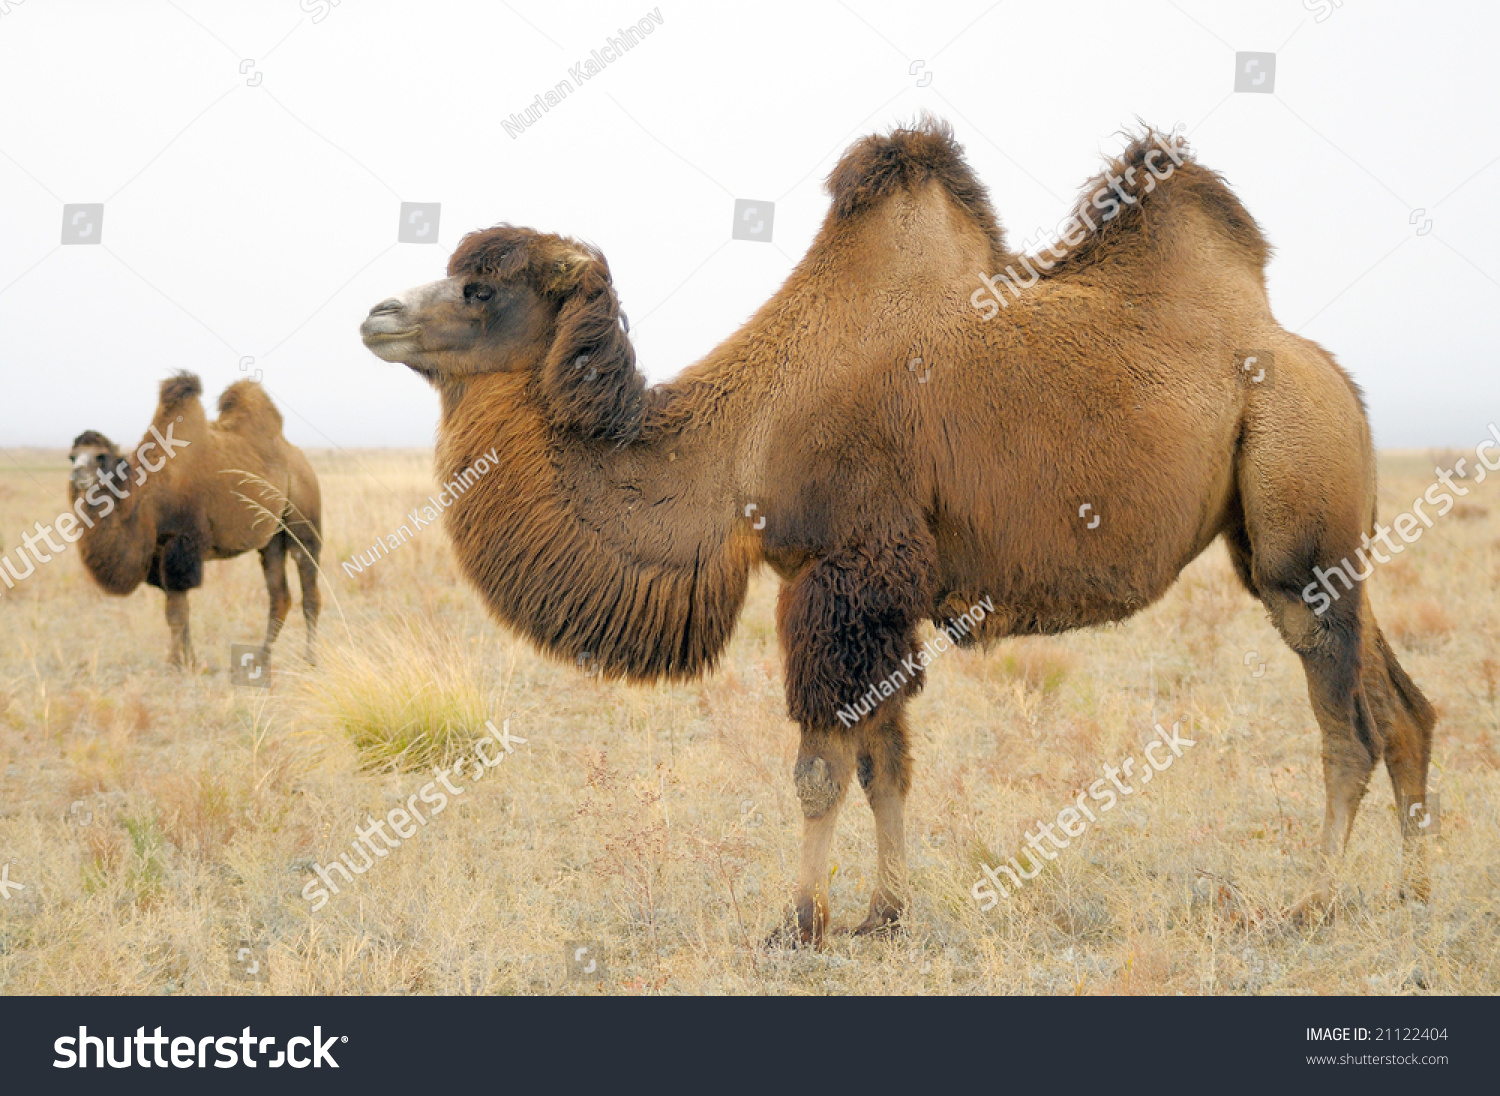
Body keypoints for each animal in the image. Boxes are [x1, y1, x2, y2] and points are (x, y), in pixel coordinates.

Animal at [68, 373, 322, 668]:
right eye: (72, 456)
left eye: (101, 456)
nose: (78, 474)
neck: (146, 498)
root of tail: (300, 458)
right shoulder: (160, 556)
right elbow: (178, 611)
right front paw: (187, 660)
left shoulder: (181, 546)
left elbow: (177, 613)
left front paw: (177, 665)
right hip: (272, 539)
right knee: (279, 595)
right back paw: (261, 658)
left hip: (303, 522)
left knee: (309, 591)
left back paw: (310, 658)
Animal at [357, 117, 1434, 941]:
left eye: (481, 288)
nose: (376, 314)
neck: (741, 440)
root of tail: (1333, 375)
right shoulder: (867, 591)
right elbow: (887, 766)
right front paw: (883, 914)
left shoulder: (847, 571)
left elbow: (822, 768)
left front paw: (799, 922)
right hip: (1318, 551)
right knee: (1404, 707)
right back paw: (1410, 893)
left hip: (1298, 518)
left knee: (1346, 725)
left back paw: (1312, 903)